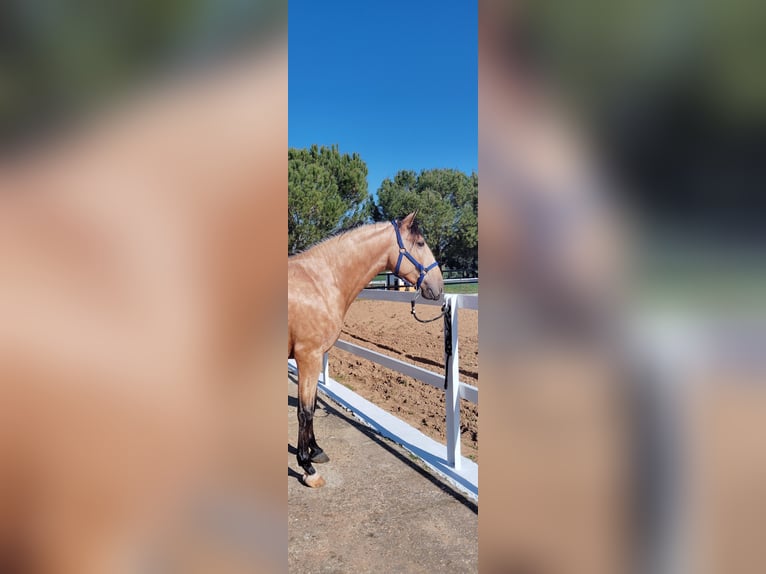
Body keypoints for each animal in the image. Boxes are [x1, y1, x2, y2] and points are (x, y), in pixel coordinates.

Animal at [288, 214, 444, 488]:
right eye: (421, 243)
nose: (439, 286)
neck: (318, 282)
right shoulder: (308, 357)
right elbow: (305, 411)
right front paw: (307, 468)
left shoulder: (314, 359)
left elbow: (313, 404)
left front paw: (316, 451)